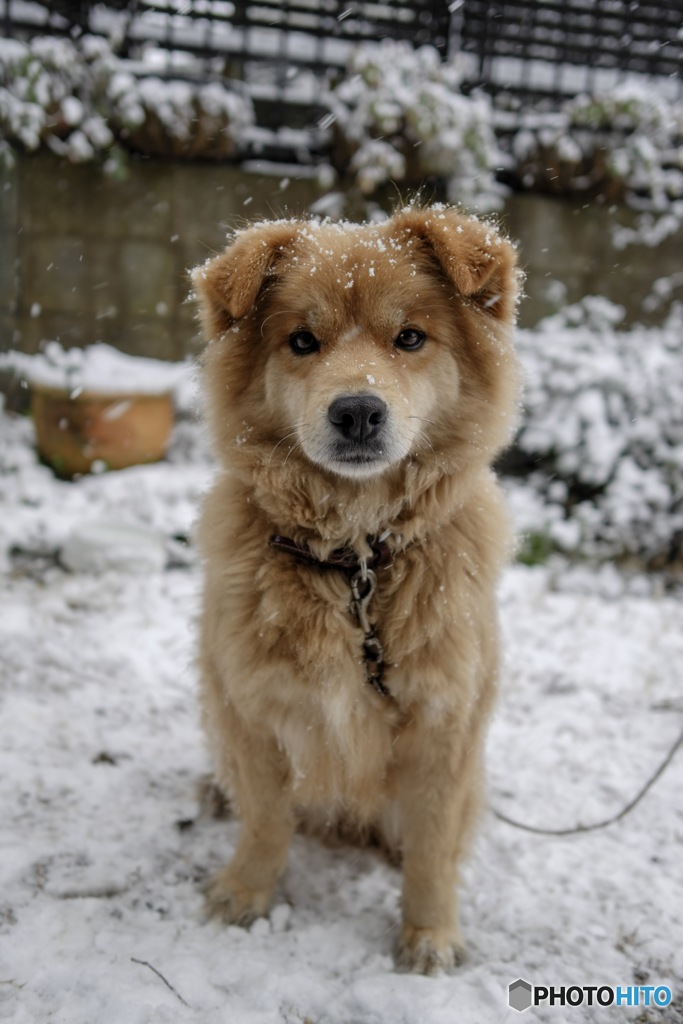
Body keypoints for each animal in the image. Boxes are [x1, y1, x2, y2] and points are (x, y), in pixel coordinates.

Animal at [189, 201, 520, 974]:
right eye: (302, 341)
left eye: (410, 337)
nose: (358, 412)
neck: (356, 559)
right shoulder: (249, 708)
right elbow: (266, 819)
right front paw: (246, 893)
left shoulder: (444, 723)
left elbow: (431, 847)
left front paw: (429, 935)